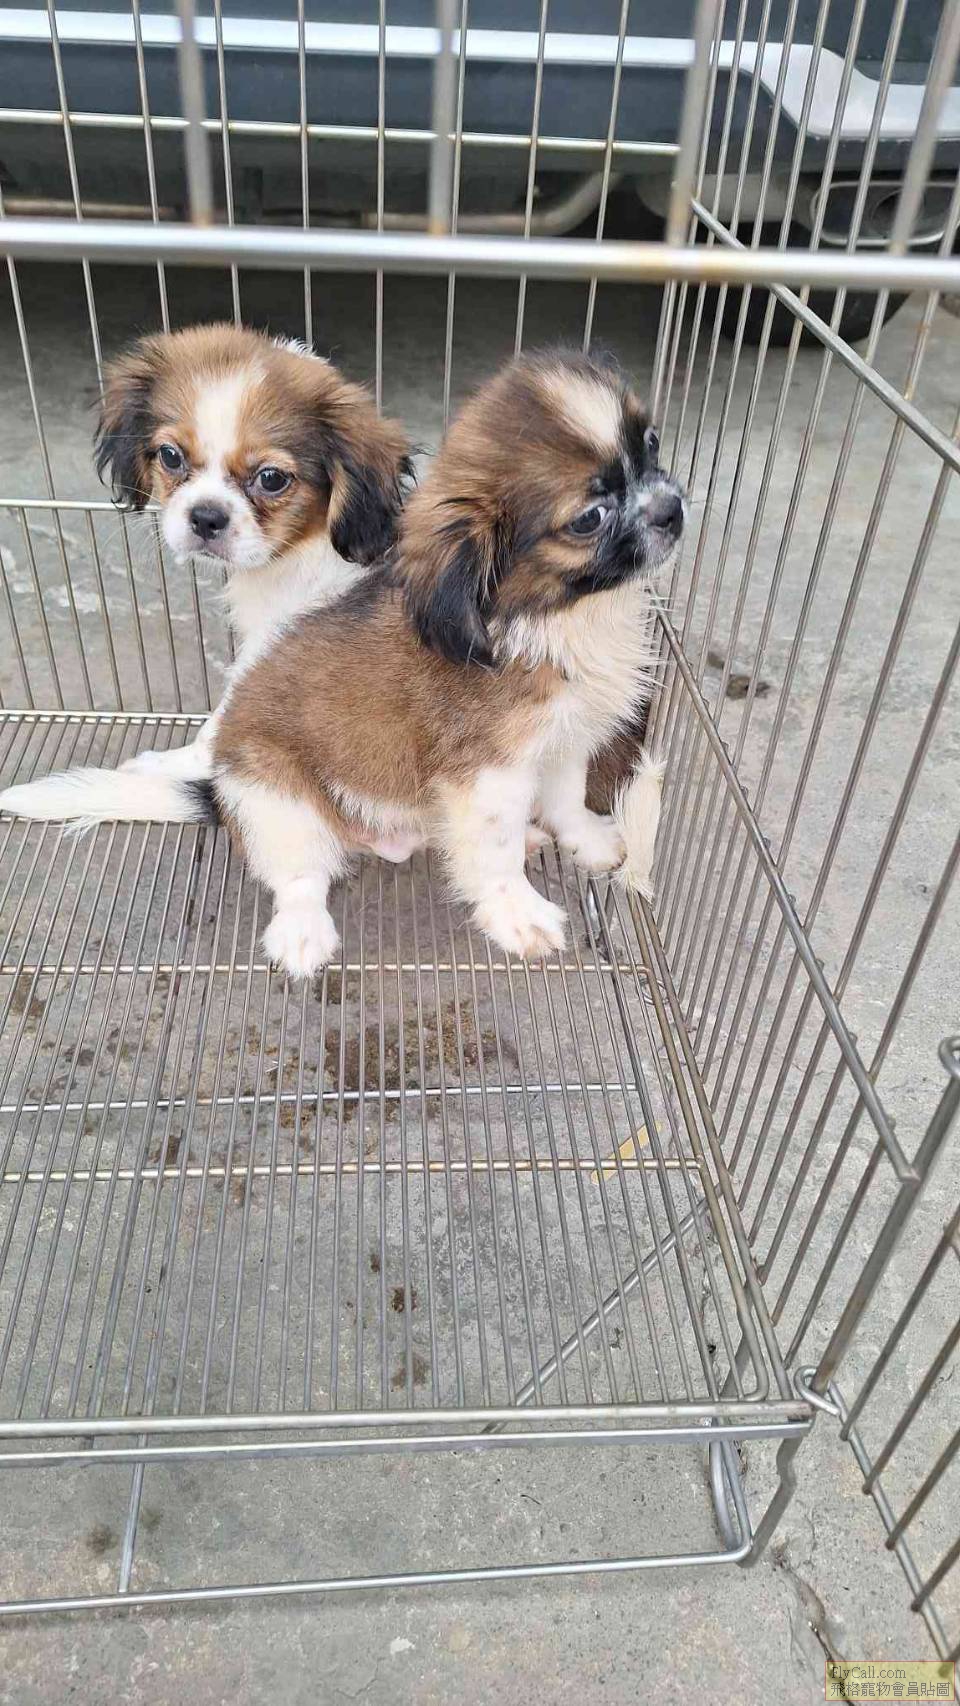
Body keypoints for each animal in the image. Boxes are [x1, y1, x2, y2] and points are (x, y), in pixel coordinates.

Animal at [0, 323, 412, 823]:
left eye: (271, 478)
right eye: (171, 456)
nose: (206, 516)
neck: (304, 546)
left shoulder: (268, 653)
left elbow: (215, 728)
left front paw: (156, 766)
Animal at [197, 348, 683, 978]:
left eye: (651, 442)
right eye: (589, 518)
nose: (672, 510)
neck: (562, 615)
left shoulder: (561, 740)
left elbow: (568, 799)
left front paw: (587, 842)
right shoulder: (491, 774)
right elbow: (495, 856)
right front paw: (517, 913)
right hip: (272, 800)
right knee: (300, 876)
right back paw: (302, 932)